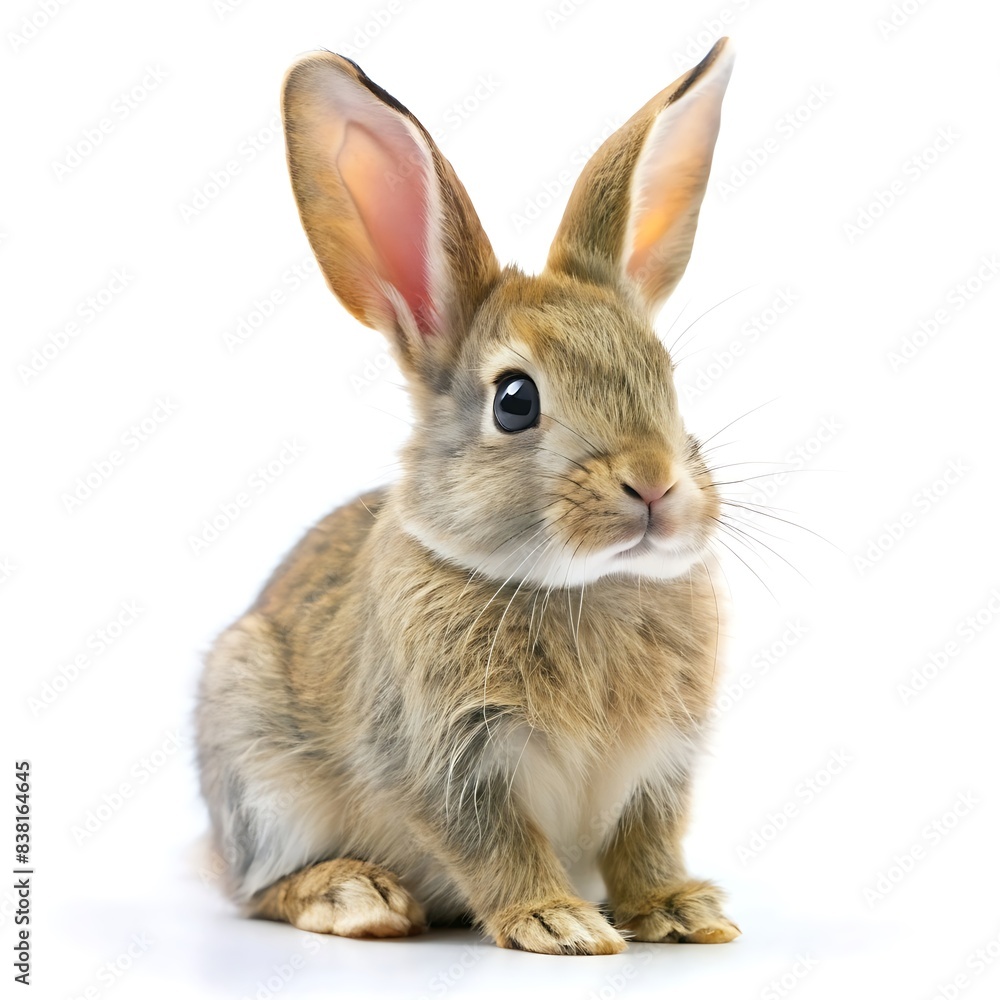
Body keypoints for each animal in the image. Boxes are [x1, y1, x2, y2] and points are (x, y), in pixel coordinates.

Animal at [196, 37, 740, 956]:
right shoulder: (448, 761)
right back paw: (354, 896)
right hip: (257, 770)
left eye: (665, 377)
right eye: (515, 400)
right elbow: (495, 845)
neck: (583, 587)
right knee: (260, 890)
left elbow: (647, 842)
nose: (657, 483)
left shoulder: (658, 769)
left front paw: (681, 911)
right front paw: (557, 922)